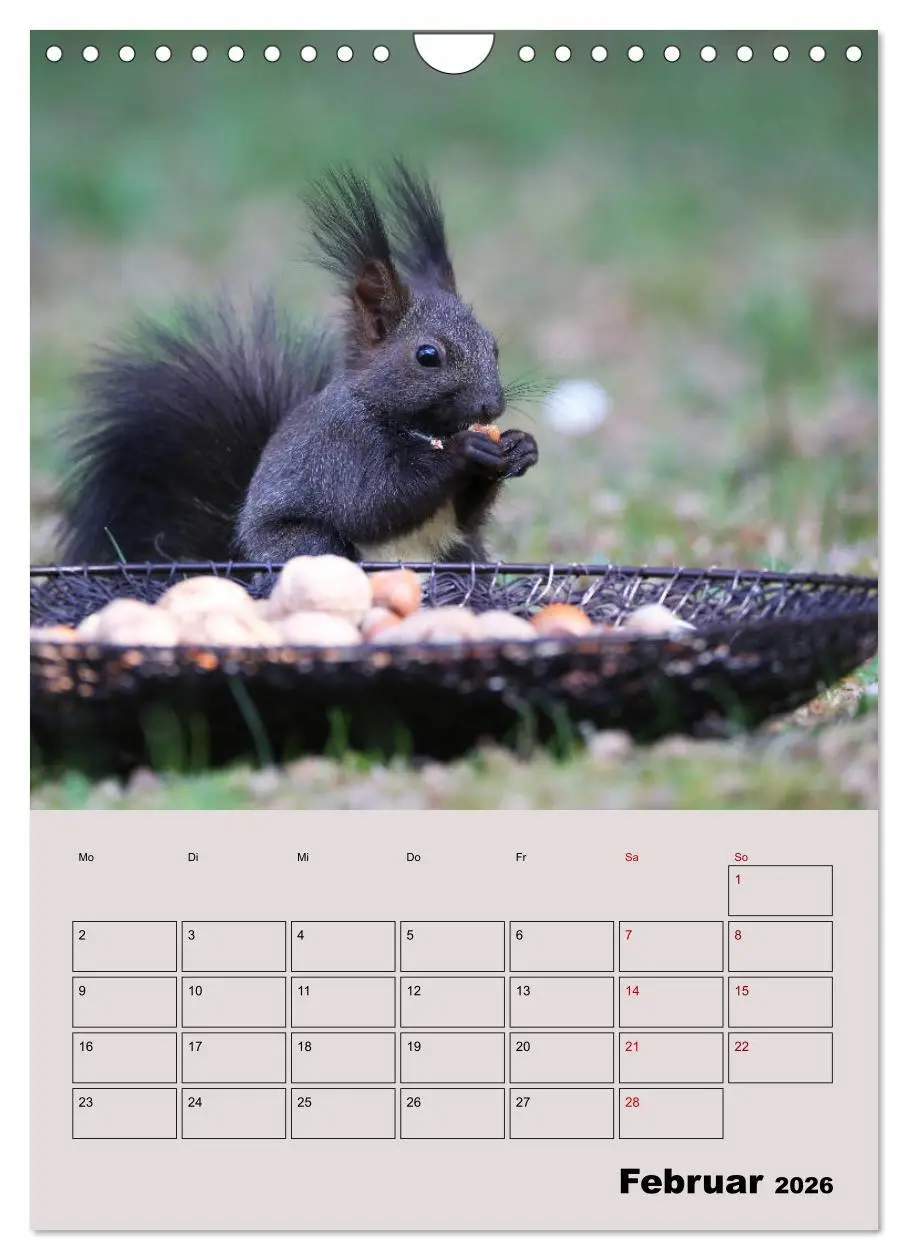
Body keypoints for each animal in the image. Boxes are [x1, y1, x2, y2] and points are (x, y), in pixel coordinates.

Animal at [58, 161, 539, 565]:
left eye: (493, 346)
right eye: (427, 356)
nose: (491, 406)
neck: (419, 428)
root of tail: (239, 559)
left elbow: (465, 514)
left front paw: (520, 446)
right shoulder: (339, 449)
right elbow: (373, 501)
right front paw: (465, 451)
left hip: (462, 553)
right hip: (304, 543)